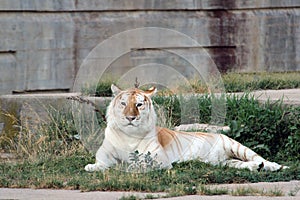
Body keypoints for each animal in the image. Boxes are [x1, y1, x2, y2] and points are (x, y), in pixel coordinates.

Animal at [85, 84, 288, 172]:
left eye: (139, 105)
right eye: (123, 103)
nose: (130, 117)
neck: (129, 135)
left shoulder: (159, 158)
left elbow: (138, 162)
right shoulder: (105, 154)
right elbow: (102, 163)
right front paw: (92, 167)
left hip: (237, 146)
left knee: (259, 157)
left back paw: (275, 166)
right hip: (224, 162)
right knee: (243, 164)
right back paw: (257, 167)